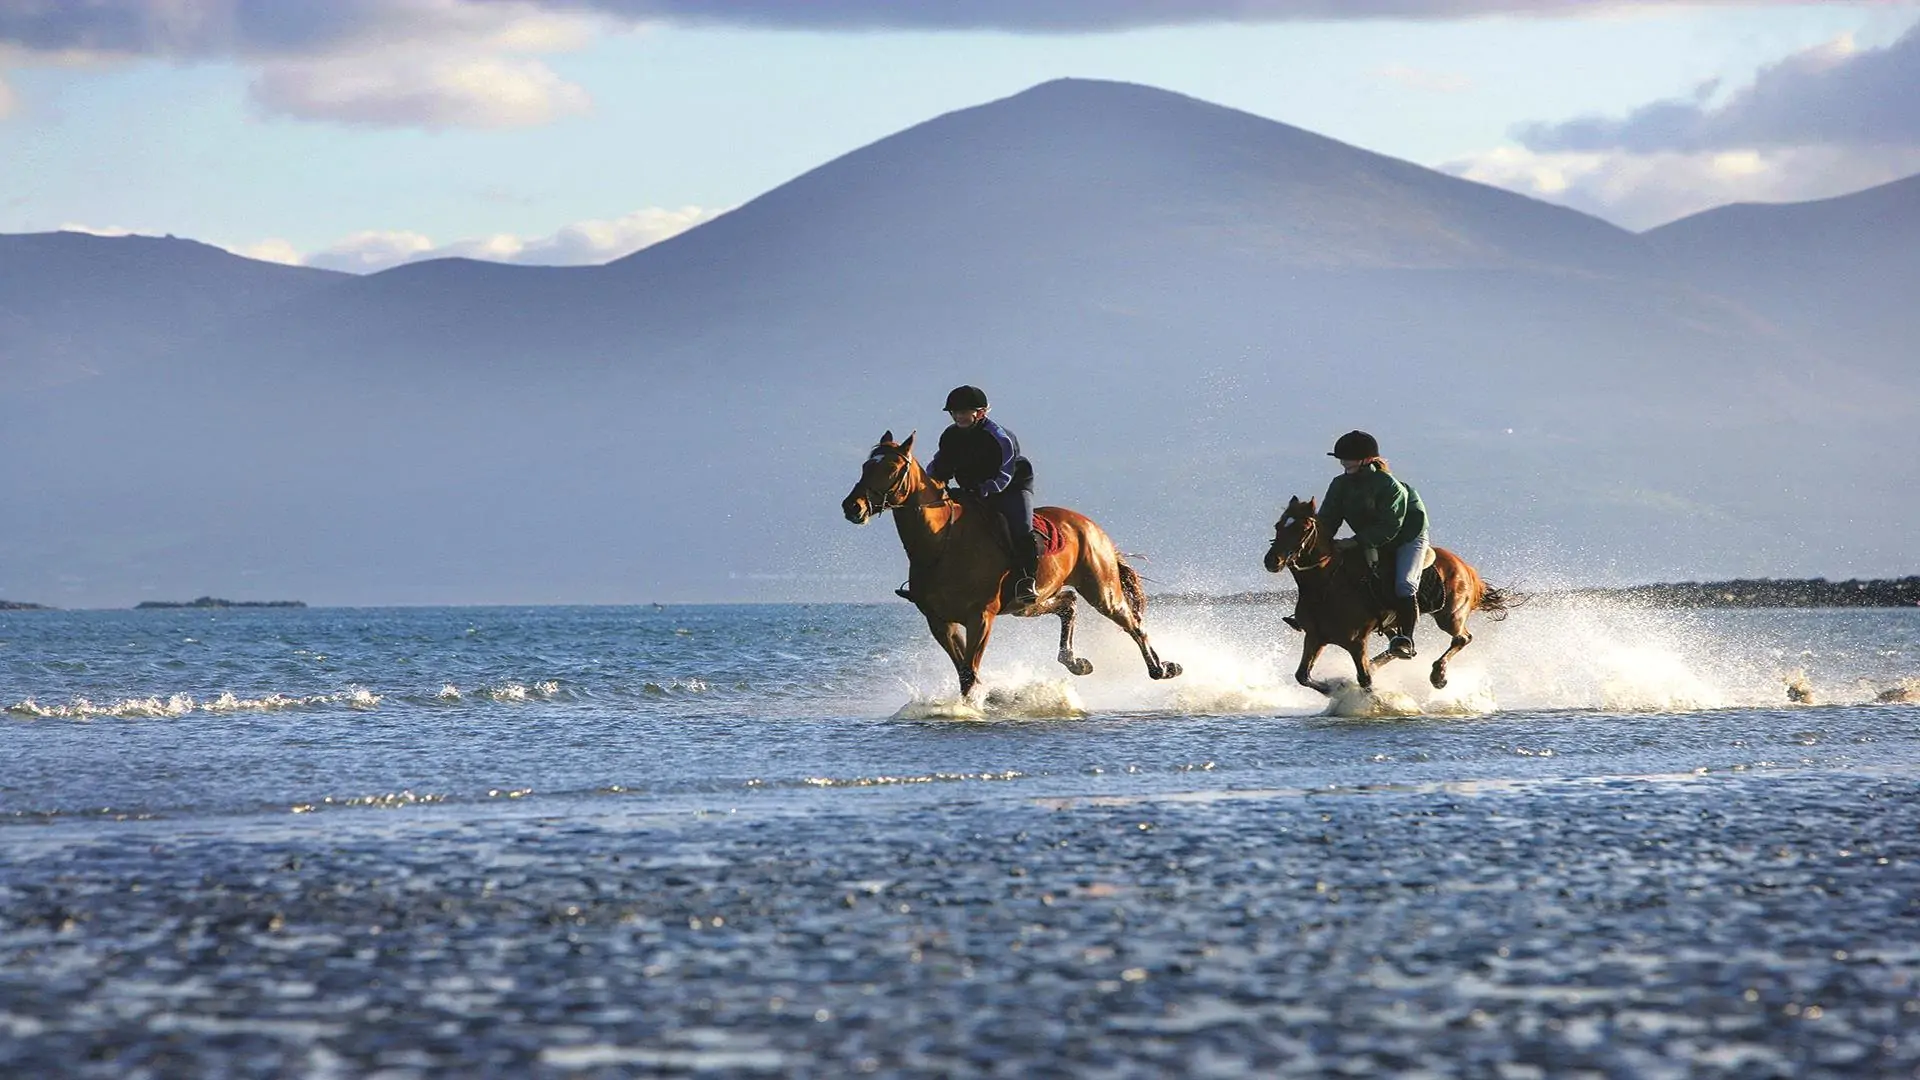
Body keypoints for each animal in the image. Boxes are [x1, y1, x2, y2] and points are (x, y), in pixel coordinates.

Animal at [844, 428, 1182, 699]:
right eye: (864, 465)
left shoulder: (980, 617)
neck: (943, 543)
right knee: (1068, 603)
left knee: (1133, 624)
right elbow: (965, 671)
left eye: (891, 466)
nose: (852, 507)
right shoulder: (940, 622)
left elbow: (969, 672)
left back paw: (1162, 669)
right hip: (1028, 603)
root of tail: (1092, 527)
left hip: (1102, 591)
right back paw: (1075, 662)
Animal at [1259, 495, 1512, 687]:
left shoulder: (1356, 641)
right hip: (1395, 624)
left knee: (1462, 638)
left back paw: (1437, 675)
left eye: (1303, 528)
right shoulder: (1315, 637)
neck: (1325, 586)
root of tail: (1465, 567)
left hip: (1450, 616)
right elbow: (1302, 676)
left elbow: (1364, 680)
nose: (1272, 561)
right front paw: (1334, 688)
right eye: (1278, 526)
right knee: (1397, 647)